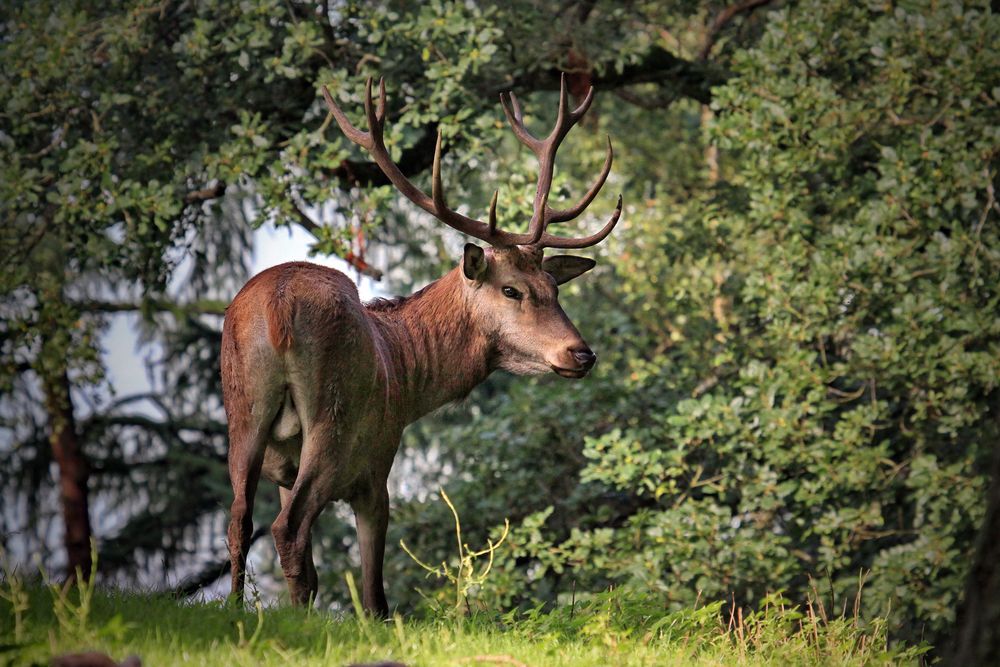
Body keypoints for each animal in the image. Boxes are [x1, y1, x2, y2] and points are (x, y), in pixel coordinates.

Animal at [223, 73, 620, 616]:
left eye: (554, 288)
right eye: (511, 289)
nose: (581, 353)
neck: (407, 375)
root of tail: (277, 307)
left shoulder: (285, 471)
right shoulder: (377, 460)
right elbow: (374, 593)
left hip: (242, 406)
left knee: (240, 520)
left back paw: (235, 611)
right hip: (335, 421)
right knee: (289, 529)